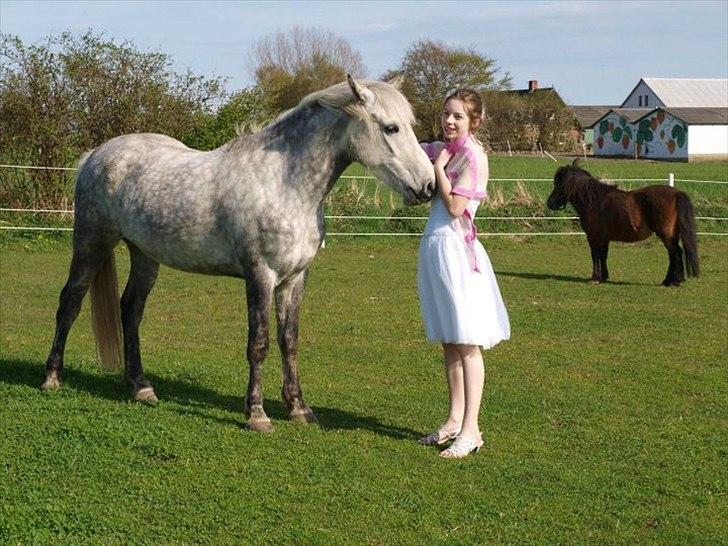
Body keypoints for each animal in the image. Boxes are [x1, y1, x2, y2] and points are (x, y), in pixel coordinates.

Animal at [42, 75, 436, 430]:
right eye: (391, 128)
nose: (428, 186)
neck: (284, 183)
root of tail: (94, 156)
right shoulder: (260, 274)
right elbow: (258, 343)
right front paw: (257, 414)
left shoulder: (295, 278)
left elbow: (289, 341)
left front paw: (299, 409)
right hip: (91, 242)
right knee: (70, 302)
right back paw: (52, 378)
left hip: (144, 254)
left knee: (131, 310)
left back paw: (141, 387)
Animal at [544, 160, 700, 284]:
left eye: (558, 184)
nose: (550, 203)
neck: (594, 201)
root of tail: (676, 193)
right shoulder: (604, 238)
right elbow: (603, 255)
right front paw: (604, 277)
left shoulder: (593, 236)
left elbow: (595, 255)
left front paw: (595, 278)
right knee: (673, 255)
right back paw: (670, 280)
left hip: (666, 235)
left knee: (676, 253)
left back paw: (673, 281)